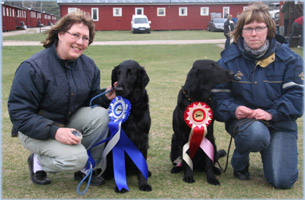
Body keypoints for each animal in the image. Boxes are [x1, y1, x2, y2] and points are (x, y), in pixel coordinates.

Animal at [102, 60, 151, 193]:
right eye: (118, 73)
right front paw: (120, 186)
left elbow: (141, 165)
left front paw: (143, 184)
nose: (118, 89)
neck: (132, 107)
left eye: (130, 73)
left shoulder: (143, 138)